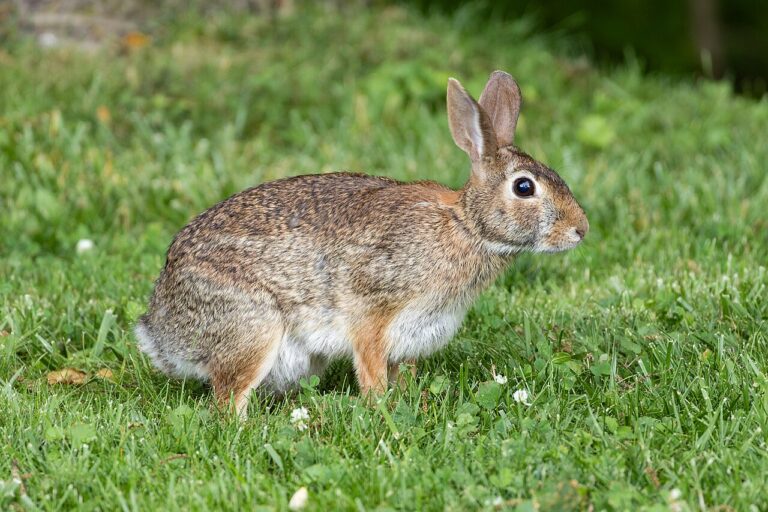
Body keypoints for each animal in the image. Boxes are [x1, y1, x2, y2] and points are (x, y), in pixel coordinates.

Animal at [136, 70, 589, 416]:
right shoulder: (371, 314)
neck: (466, 227)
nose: (581, 229)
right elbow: (370, 368)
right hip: (253, 329)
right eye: (524, 188)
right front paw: (380, 407)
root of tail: (160, 331)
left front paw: (409, 400)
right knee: (227, 403)